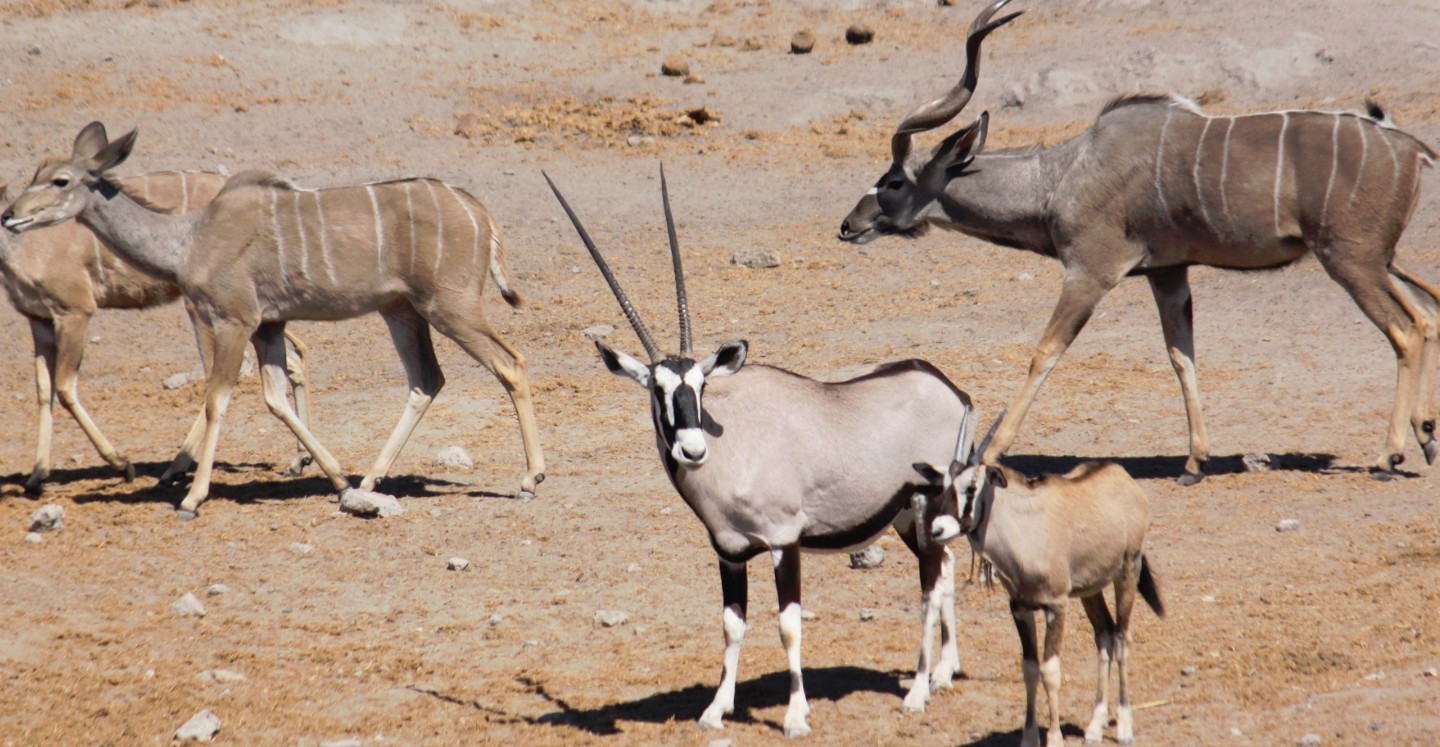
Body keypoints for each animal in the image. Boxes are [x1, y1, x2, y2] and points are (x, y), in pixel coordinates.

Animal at [0, 172, 312, 495]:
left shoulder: (75, 312)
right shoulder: (39, 320)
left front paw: (122, 464)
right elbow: (43, 389)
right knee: (293, 358)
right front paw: (37, 475)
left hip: (208, 310)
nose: (8, 217)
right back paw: (299, 459)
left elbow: (63, 388)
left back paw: (176, 468)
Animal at [544, 168, 973, 736]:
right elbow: (732, 625)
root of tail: (950, 389)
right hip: (908, 515)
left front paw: (794, 716)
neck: (734, 445)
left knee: (929, 586)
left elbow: (789, 625)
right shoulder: (729, 552)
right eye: (657, 389)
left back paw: (918, 692)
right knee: (943, 571)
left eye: (700, 385)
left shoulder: (783, 542)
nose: (693, 448)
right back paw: (944, 672)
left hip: (926, 504)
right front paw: (715, 710)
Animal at [840, 0, 1434, 483]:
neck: (1062, 176)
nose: (849, 224)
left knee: (1405, 331)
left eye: (893, 181)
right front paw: (1194, 462)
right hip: (1378, 260)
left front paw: (989, 453)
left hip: (1351, 260)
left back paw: (1389, 456)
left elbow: (1044, 352)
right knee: (1426, 315)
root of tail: (1411, 148)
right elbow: (1181, 356)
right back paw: (1425, 435)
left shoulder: (1090, 272)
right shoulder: (1167, 273)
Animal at [915, 414, 1163, 747]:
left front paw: (1054, 737)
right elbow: (1030, 668)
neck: (1024, 527)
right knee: (1105, 635)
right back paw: (1095, 725)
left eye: (972, 487)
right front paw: (1029, 736)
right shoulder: (1021, 607)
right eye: (943, 487)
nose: (938, 529)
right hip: (1090, 590)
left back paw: (1124, 726)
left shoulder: (1056, 607)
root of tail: (1122, 477)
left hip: (1127, 573)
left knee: (1123, 637)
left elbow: (1050, 670)